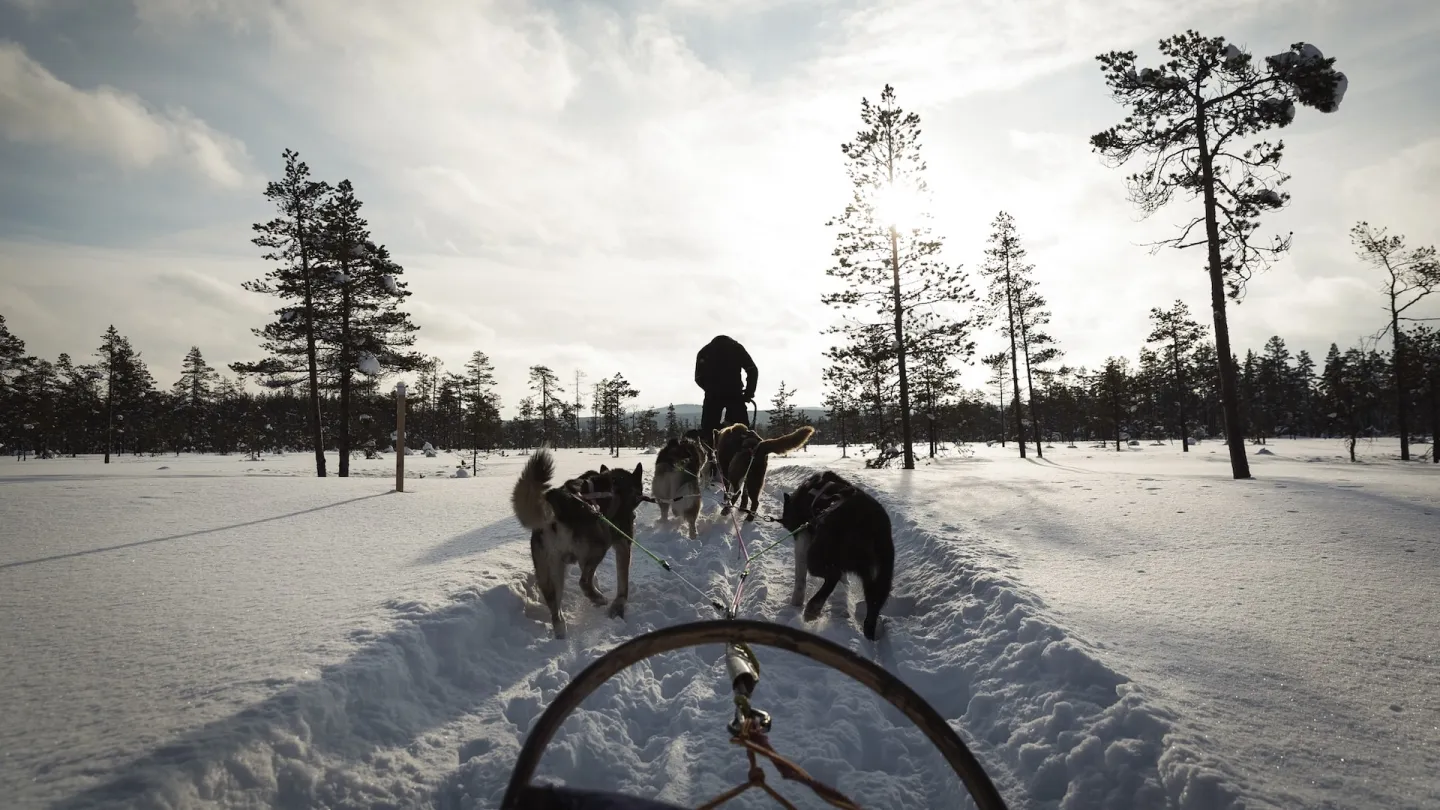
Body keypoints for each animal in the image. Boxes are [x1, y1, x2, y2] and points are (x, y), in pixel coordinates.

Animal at [506, 443, 642, 634]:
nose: (635, 514)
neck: (617, 483)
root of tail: (557, 504)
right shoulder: (623, 543)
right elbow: (623, 584)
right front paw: (618, 606)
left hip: (551, 572)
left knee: (557, 613)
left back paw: (562, 631)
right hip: (599, 547)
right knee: (583, 582)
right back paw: (598, 598)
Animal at [783, 466, 892, 637]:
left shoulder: (803, 538)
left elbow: (800, 577)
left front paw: (796, 602)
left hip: (817, 557)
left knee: (833, 575)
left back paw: (813, 608)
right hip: (880, 579)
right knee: (872, 611)